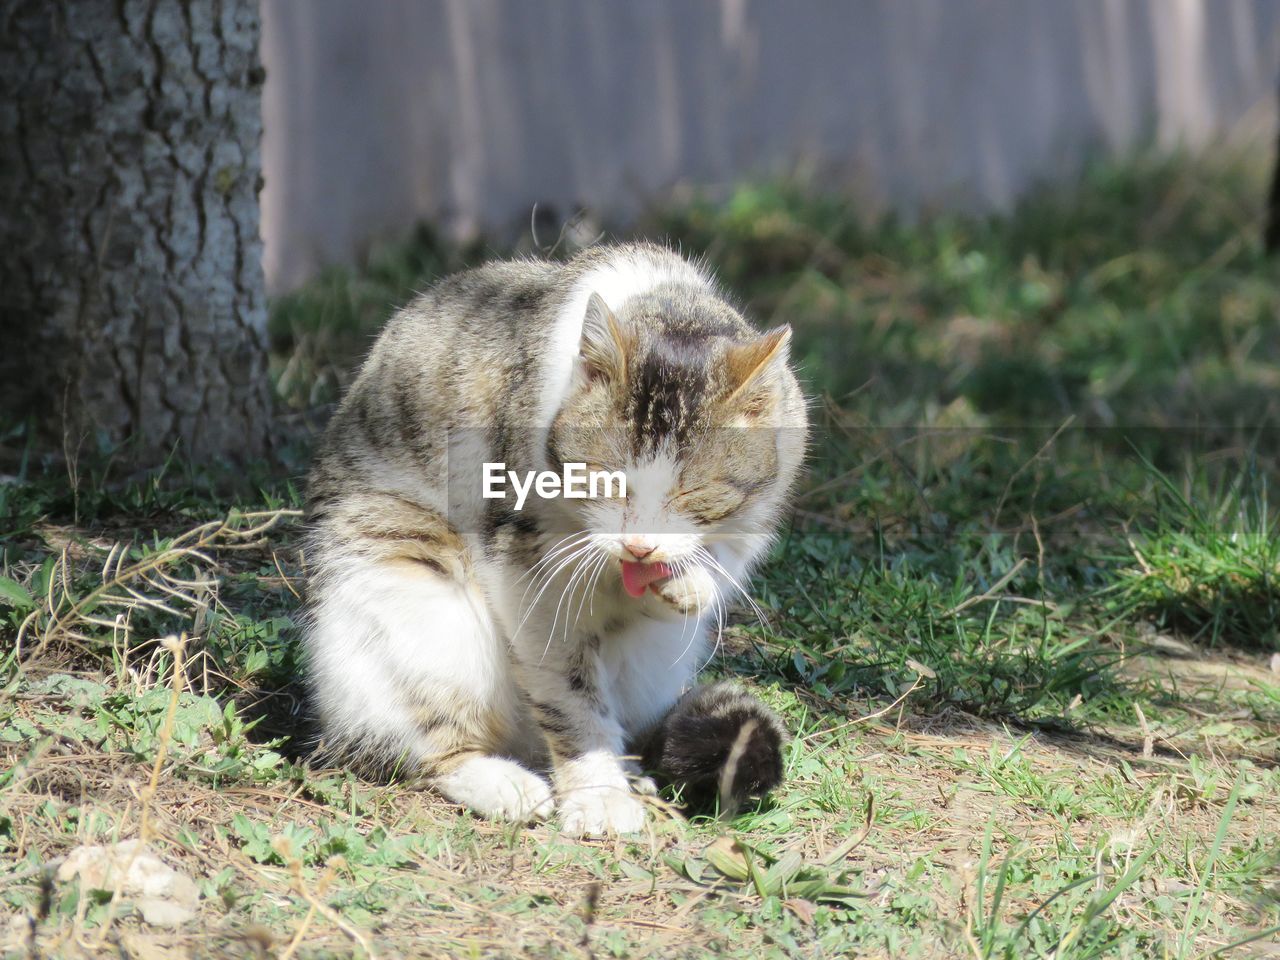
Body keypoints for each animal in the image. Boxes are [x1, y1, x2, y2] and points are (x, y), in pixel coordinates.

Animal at [299, 241, 803, 834]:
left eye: (695, 491)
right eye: (605, 478)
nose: (640, 546)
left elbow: (717, 561)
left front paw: (686, 581)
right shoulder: (527, 568)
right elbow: (568, 691)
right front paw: (599, 793)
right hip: (403, 580)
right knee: (428, 737)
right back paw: (504, 783)